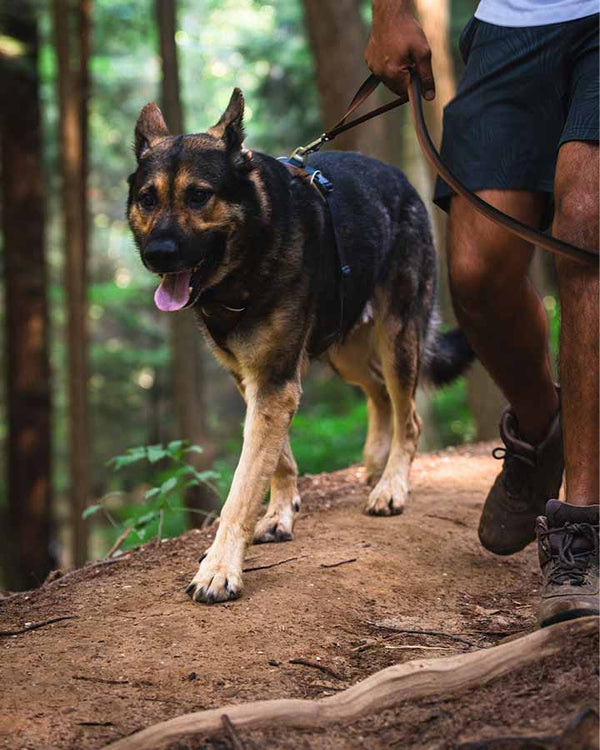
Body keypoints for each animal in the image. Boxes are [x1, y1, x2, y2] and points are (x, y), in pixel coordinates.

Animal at [127, 89, 474, 604]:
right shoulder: (256, 381)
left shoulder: (275, 384)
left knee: (408, 415)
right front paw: (279, 513)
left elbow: (242, 487)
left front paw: (220, 567)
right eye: (148, 199)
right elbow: (278, 461)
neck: (251, 253)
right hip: (346, 352)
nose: (158, 255)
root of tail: (400, 179)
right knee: (378, 394)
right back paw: (375, 463)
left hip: (396, 338)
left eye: (199, 195)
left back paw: (391, 486)